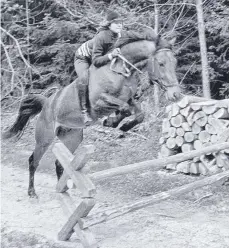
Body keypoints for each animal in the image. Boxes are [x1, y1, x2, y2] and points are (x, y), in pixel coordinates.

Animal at [3, 35, 182, 198]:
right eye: (161, 63)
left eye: (175, 63)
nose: (176, 94)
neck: (119, 72)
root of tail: (47, 102)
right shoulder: (99, 102)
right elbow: (124, 109)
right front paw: (112, 121)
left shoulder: (129, 99)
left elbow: (138, 113)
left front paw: (122, 125)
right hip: (44, 138)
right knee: (33, 161)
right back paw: (32, 192)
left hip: (72, 137)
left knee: (60, 164)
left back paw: (63, 190)